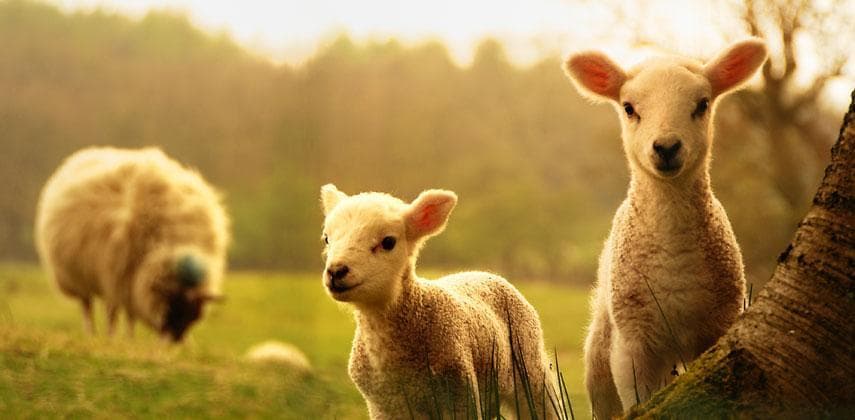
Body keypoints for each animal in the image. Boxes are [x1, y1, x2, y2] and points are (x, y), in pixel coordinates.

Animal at [34, 146, 230, 342]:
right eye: (172, 305)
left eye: (194, 314)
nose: (174, 342)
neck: (175, 242)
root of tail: (83, 154)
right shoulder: (116, 276)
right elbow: (116, 314)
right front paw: (115, 339)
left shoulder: (131, 281)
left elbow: (131, 314)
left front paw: (130, 340)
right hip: (76, 278)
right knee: (87, 306)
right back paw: (92, 333)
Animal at [320, 184, 558, 419]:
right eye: (327, 239)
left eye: (388, 242)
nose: (336, 271)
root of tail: (484, 272)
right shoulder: (383, 405)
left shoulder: (460, 394)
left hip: (531, 368)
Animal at [563, 39, 768, 418]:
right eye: (629, 108)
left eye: (702, 104)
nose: (667, 147)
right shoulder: (633, 344)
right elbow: (637, 401)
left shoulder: (716, 329)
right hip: (601, 348)